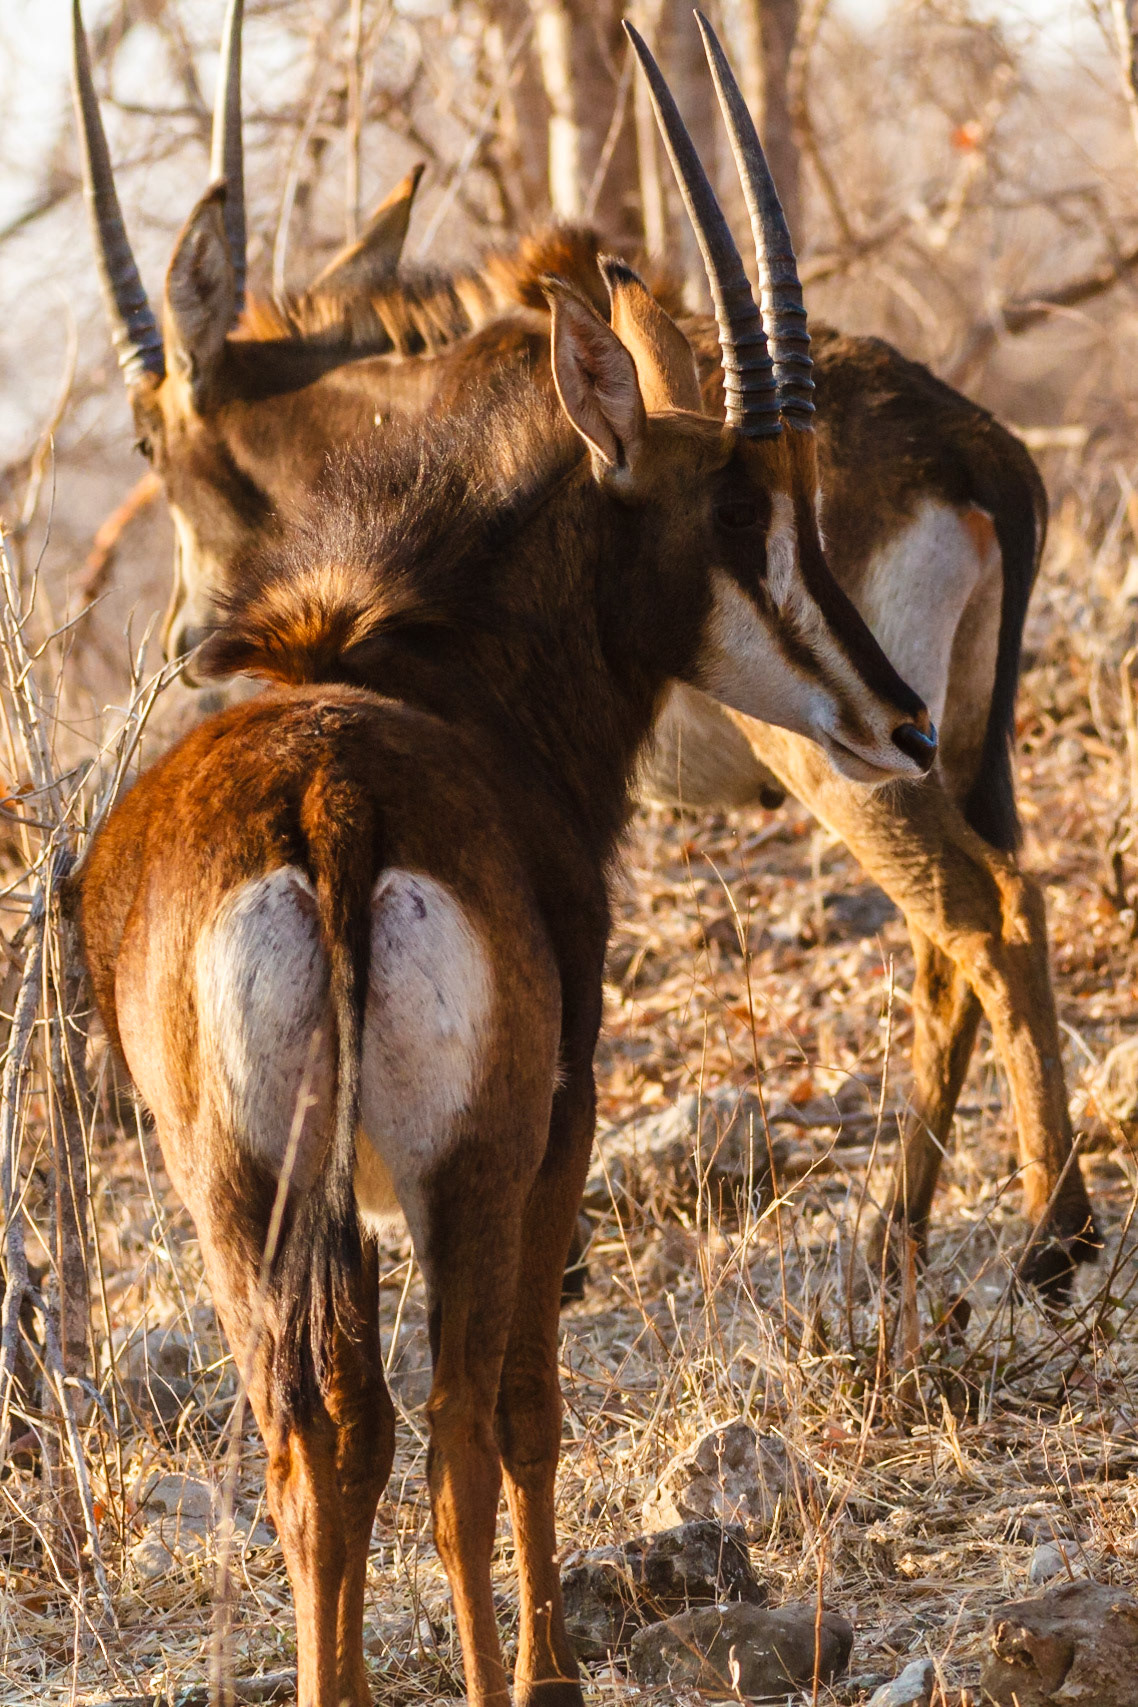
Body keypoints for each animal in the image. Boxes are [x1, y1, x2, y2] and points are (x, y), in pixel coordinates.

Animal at [72, 0, 1098, 1290]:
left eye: (147, 449)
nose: (185, 638)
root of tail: (980, 451)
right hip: (949, 739)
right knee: (960, 932)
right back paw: (898, 1230)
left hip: (846, 761)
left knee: (978, 915)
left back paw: (1047, 1233)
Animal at [78, 44, 935, 1705]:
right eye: (739, 509)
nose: (901, 719)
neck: (441, 669)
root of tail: (333, 800)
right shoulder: (566, 1110)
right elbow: (534, 1410)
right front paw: (549, 1661)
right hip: (464, 1162)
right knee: (457, 1435)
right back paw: (501, 1672)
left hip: (238, 1193)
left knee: (317, 1447)